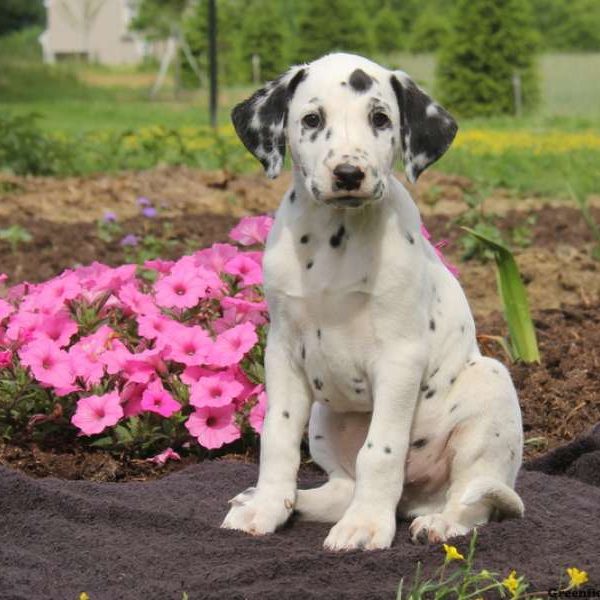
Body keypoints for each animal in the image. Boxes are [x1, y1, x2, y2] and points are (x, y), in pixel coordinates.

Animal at [218, 54, 524, 552]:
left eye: (380, 119)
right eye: (312, 119)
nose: (348, 174)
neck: (334, 238)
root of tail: (417, 499)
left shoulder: (399, 359)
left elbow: (379, 452)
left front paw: (365, 525)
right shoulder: (283, 352)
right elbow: (277, 437)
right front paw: (265, 506)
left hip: (490, 388)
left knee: (472, 497)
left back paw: (439, 522)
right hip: (323, 418)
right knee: (342, 487)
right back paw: (296, 503)